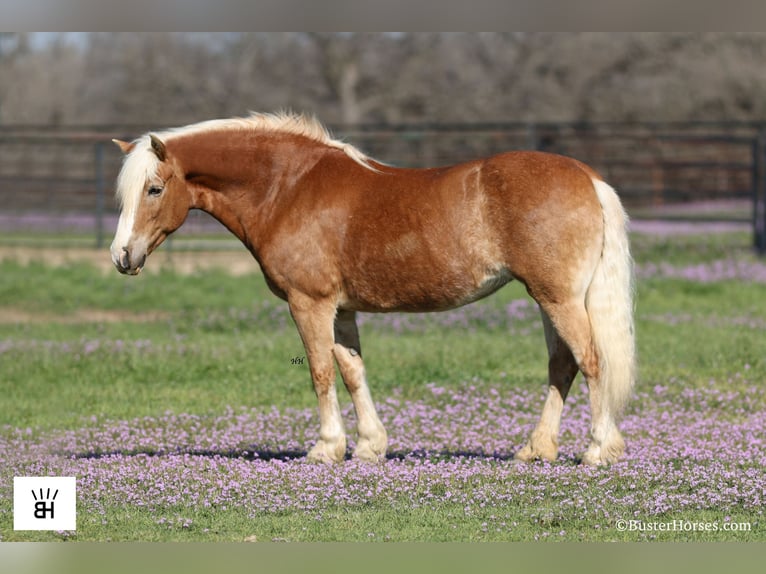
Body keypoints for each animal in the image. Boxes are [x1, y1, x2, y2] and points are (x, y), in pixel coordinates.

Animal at [108, 112, 636, 468]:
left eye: (154, 189)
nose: (122, 256)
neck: (288, 187)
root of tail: (588, 177)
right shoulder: (341, 310)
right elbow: (352, 371)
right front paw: (368, 445)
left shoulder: (309, 304)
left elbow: (321, 372)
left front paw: (326, 447)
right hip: (550, 298)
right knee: (562, 365)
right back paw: (536, 449)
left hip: (558, 298)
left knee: (591, 361)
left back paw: (597, 450)